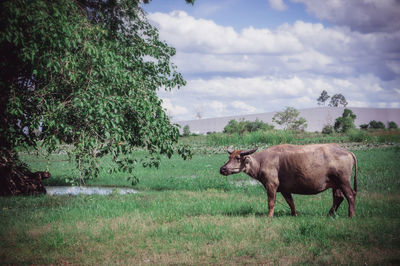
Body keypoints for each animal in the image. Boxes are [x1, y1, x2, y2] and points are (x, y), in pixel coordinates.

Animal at [220, 144, 358, 217]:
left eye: (238, 158)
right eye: (229, 157)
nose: (222, 169)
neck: (261, 162)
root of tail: (347, 151)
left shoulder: (271, 185)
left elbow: (271, 202)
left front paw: (269, 216)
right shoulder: (284, 189)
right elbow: (290, 202)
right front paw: (294, 214)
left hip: (343, 181)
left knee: (350, 195)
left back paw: (351, 215)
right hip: (336, 184)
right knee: (338, 197)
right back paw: (330, 214)